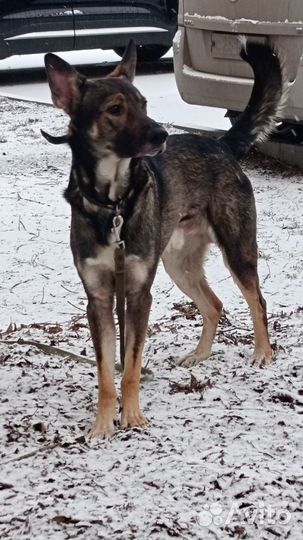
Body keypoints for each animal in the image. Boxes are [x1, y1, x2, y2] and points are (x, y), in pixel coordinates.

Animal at [42, 39, 284, 438]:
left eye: (143, 104)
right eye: (115, 109)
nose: (161, 136)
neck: (114, 204)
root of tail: (221, 144)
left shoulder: (140, 294)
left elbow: (131, 366)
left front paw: (132, 416)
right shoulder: (99, 300)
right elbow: (107, 371)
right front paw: (103, 423)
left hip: (236, 250)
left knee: (258, 302)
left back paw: (263, 353)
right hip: (178, 265)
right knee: (214, 305)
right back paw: (200, 354)